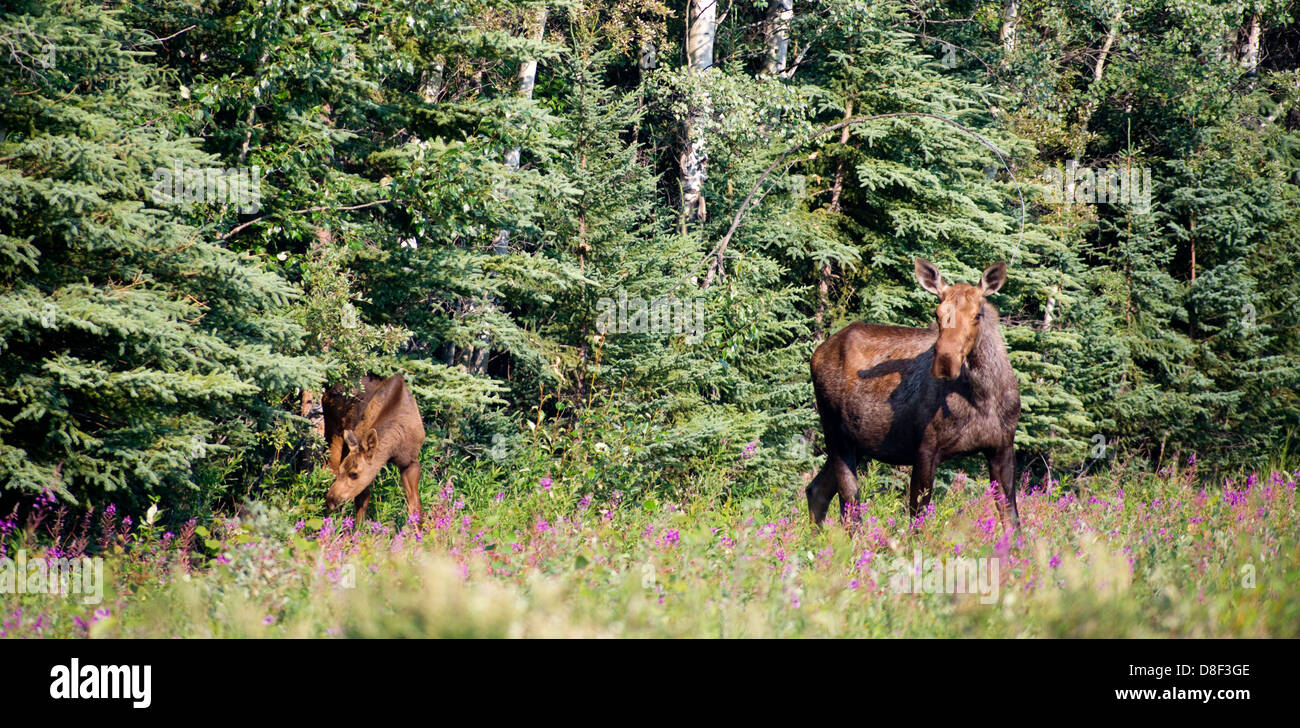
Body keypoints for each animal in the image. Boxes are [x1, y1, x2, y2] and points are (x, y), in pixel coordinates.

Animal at [319, 374, 426, 522]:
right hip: (333, 430)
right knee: (328, 468)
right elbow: (362, 500)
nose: (331, 500)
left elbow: (415, 506)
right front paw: (357, 528)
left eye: (354, 474)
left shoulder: (411, 462)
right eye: (343, 471)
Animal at [806, 258, 1019, 533]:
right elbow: (918, 522)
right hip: (835, 433)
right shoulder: (925, 448)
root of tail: (816, 353)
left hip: (856, 442)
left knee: (817, 490)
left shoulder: (1002, 447)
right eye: (937, 314)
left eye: (977, 314)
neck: (982, 397)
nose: (945, 361)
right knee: (850, 504)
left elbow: (1012, 521)